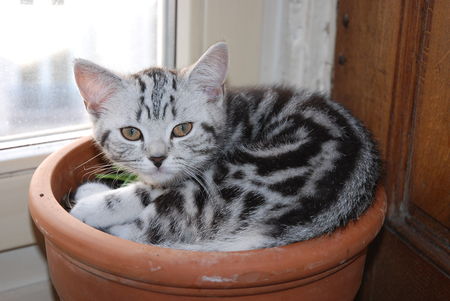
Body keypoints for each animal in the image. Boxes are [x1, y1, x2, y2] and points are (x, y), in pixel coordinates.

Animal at [69, 40, 380, 251]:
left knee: (141, 234)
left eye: (182, 129)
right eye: (132, 133)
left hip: (225, 182)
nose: (157, 158)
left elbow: (147, 192)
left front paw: (94, 202)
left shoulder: (195, 176)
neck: (231, 117)